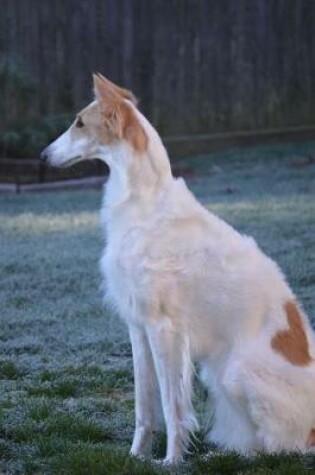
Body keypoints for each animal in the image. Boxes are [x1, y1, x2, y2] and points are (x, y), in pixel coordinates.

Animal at [40, 74, 315, 464]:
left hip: (235, 373)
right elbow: (145, 408)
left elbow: (172, 408)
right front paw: (136, 456)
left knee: (282, 448)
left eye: (79, 122)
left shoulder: (164, 328)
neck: (145, 204)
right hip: (218, 376)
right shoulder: (137, 326)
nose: (43, 156)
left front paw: (171, 461)